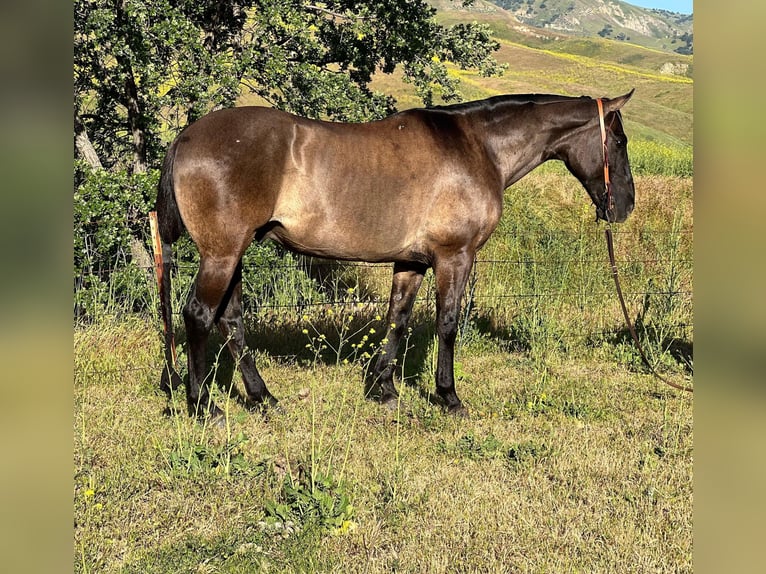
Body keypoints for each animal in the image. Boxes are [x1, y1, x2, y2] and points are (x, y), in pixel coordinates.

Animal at [154, 91, 636, 424]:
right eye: (618, 140)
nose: (625, 206)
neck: (477, 146)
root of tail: (187, 136)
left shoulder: (412, 262)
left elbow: (397, 320)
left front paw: (383, 388)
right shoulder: (454, 257)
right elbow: (447, 324)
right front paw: (448, 396)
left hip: (232, 253)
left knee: (231, 320)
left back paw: (263, 397)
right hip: (222, 254)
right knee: (199, 315)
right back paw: (203, 406)